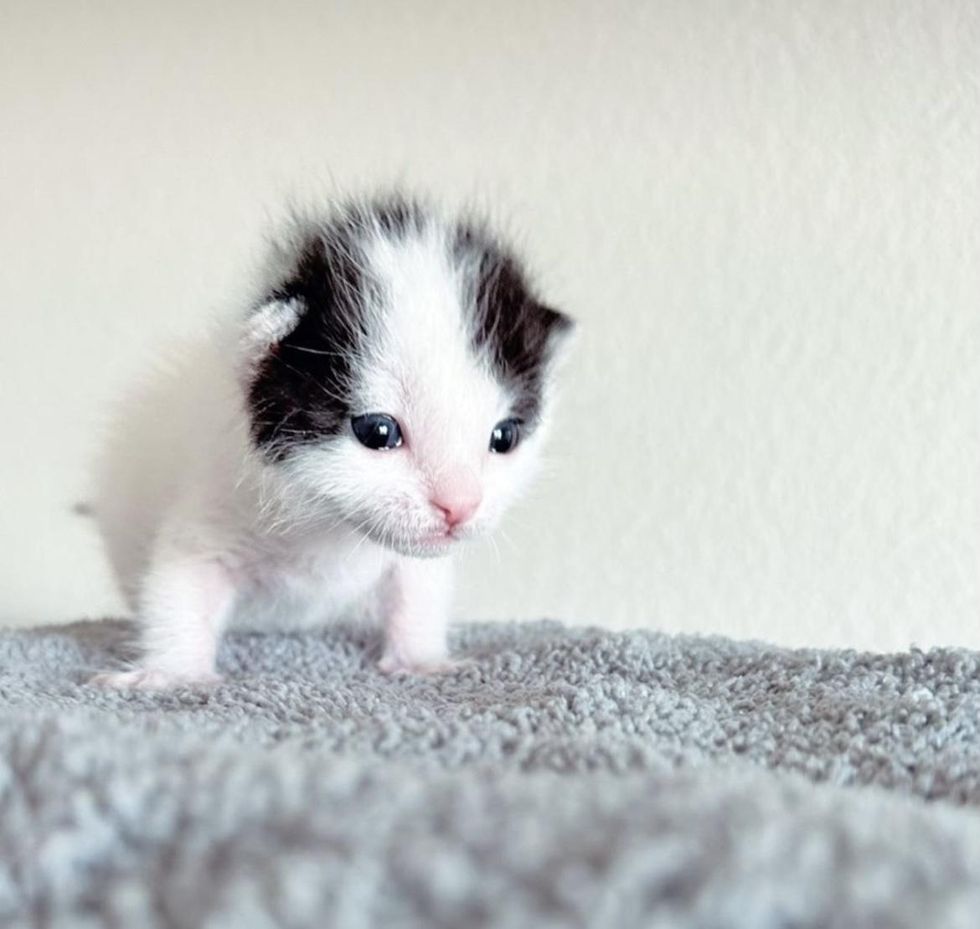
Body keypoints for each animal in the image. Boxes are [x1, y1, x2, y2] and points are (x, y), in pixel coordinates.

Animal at [92, 194, 576, 688]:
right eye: (379, 432)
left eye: (504, 437)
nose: (459, 507)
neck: (328, 526)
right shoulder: (208, 510)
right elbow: (180, 592)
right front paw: (171, 675)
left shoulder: (411, 561)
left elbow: (417, 593)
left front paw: (420, 660)